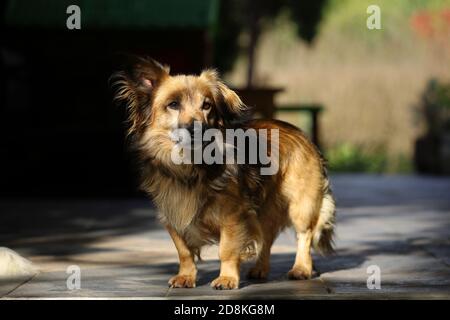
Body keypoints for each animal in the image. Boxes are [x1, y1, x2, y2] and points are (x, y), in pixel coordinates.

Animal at [112, 57, 336, 290]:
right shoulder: (172, 213)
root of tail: (299, 132)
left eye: (206, 105)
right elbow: (184, 251)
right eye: (173, 104)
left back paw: (301, 268)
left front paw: (227, 278)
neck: (189, 165)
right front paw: (186, 276)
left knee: (304, 235)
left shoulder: (233, 216)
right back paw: (260, 269)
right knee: (267, 238)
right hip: (263, 209)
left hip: (301, 205)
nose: (196, 128)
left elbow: (227, 249)